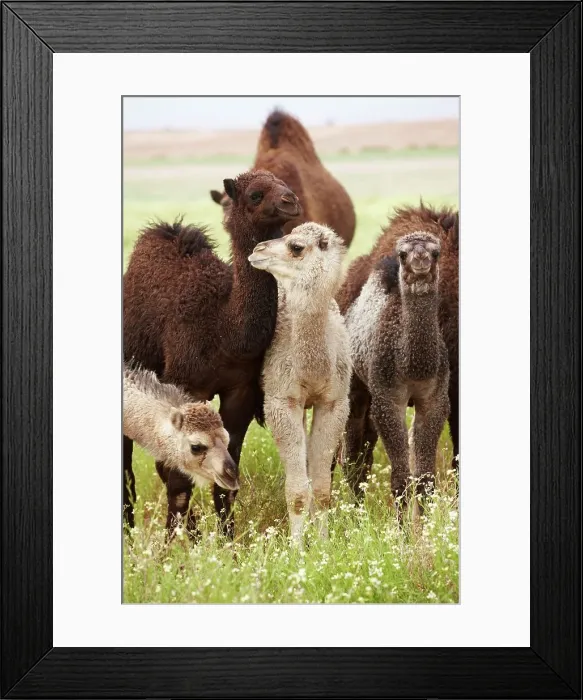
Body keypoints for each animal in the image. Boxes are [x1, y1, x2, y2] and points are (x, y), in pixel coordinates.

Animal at [249, 223, 351, 543]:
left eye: (296, 247)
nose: (257, 249)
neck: (313, 370)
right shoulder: (282, 401)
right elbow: (296, 492)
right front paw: (296, 548)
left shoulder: (334, 402)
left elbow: (321, 490)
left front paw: (323, 543)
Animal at [338, 205, 455, 514]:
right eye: (403, 254)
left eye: (436, 252)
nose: (420, 260)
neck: (413, 364)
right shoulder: (388, 399)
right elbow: (400, 480)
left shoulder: (435, 399)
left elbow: (425, 480)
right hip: (355, 386)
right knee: (352, 454)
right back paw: (355, 513)